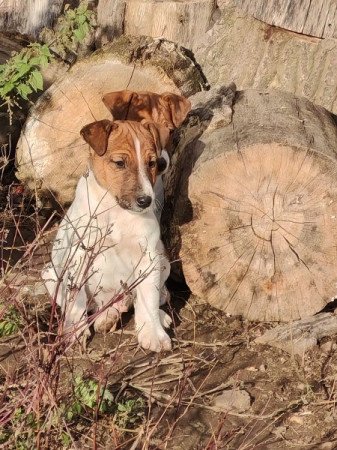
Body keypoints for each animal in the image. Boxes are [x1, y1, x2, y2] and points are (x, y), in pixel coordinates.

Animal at [41, 91, 190, 352]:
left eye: (151, 163)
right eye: (120, 163)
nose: (145, 201)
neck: (116, 211)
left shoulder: (147, 258)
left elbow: (148, 300)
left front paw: (153, 334)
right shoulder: (78, 258)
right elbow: (76, 303)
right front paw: (73, 333)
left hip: (162, 261)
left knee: (150, 297)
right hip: (50, 273)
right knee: (87, 306)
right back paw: (102, 317)